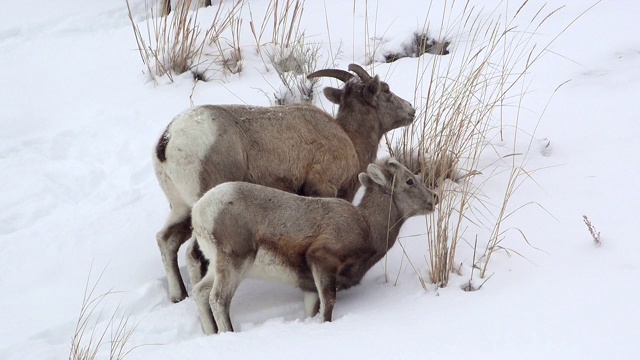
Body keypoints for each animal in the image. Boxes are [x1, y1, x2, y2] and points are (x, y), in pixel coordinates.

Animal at [154, 63, 416, 302]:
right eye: (386, 90)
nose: (411, 110)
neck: (348, 138)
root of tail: (168, 141)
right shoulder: (324, 188)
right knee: (193, 255)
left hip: (181, 208)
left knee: (166, 241)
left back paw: (178, 296)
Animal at [185, 158, 436, 334]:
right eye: (410, 181)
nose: (434, 198)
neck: (368, 226)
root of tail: (200, 213)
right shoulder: (322, 261)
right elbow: (328, 306)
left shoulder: (309, 288)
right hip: (235, 263)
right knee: (218, 300)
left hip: (217, 266)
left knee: (199, 292)